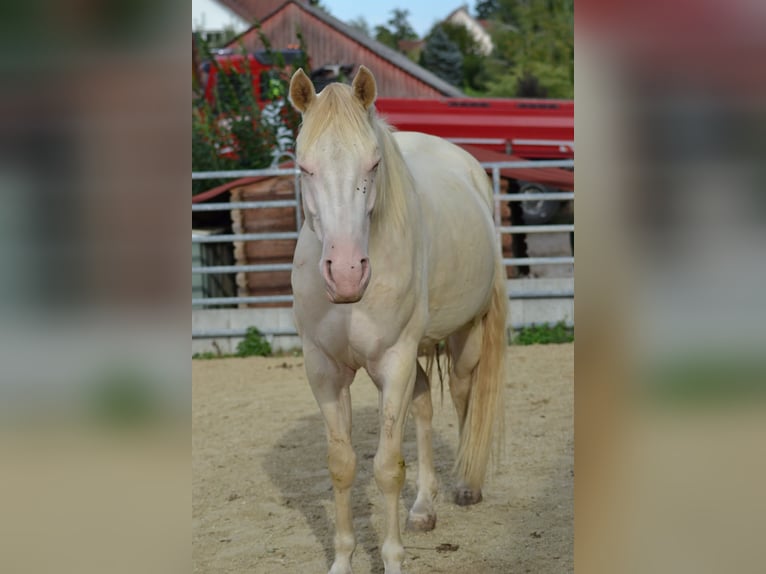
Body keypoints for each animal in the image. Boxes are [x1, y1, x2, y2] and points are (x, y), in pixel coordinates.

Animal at [289, 66, 507, 574]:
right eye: (304, 167)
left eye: (373, 165)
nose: (347, 273)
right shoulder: (324, 369)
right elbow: (342, 465)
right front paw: (342, 561)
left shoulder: (395, 360)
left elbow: (387, 468)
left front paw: (391, 560)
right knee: (424, 405)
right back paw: (424, 506)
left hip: (461, 340)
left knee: (463, 397)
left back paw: (465, 485)